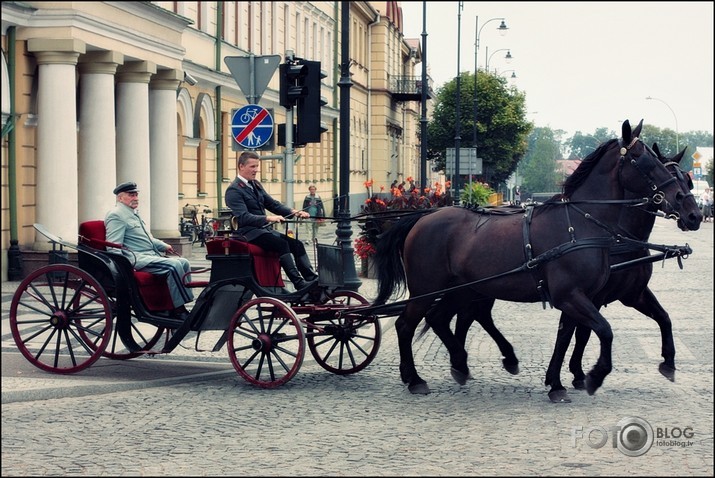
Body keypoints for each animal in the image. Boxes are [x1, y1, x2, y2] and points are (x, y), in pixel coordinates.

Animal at [374, 120, 700, 396]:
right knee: (407, 324)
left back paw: (463, 363)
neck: (582, 225)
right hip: (428, 289)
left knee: (444, 318)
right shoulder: (573, 296)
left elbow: (569, 336)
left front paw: (557, 381)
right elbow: (602, 331)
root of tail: (422, 217)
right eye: (644, 161)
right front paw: (593, 375)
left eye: (688, 179)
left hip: (463, 289)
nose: (694, 214)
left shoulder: (592, 296)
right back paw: (416, 378)